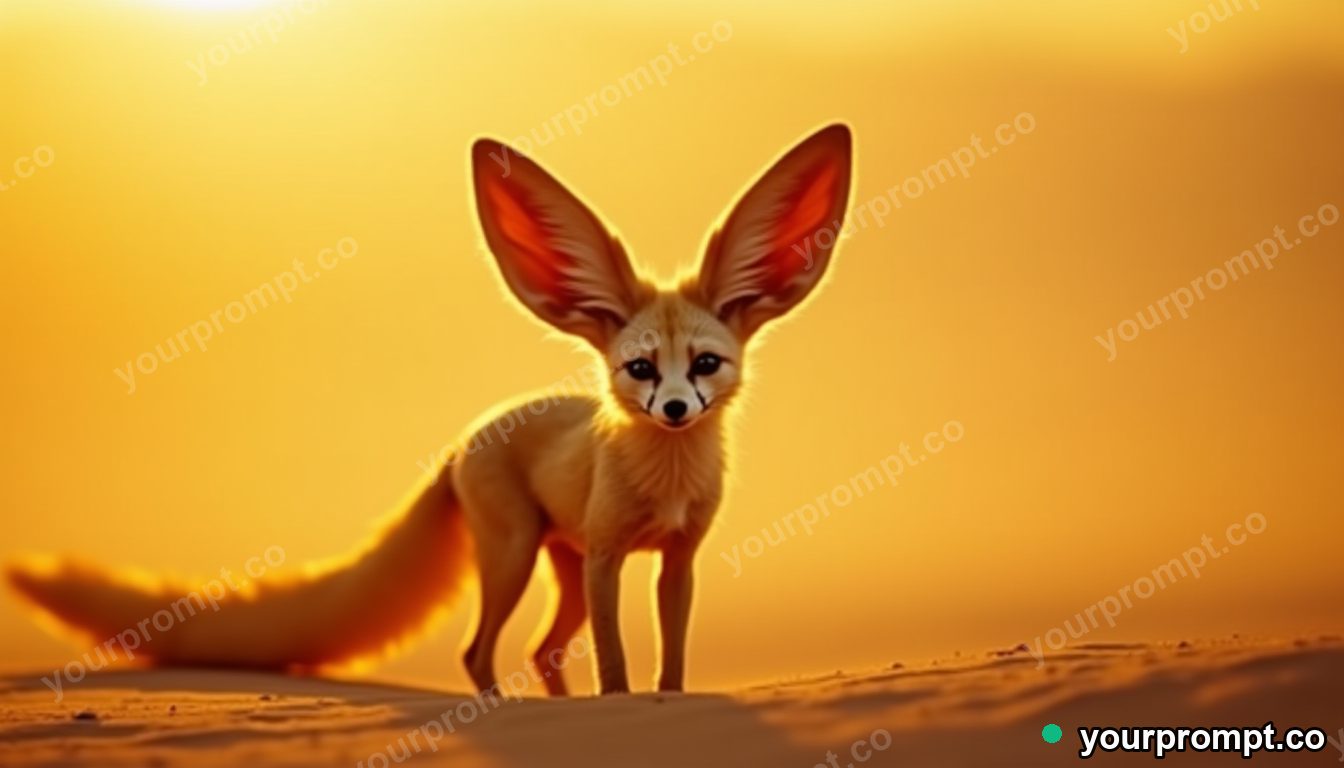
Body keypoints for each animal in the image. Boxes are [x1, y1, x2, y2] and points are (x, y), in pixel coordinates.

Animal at [6, 123, 853, 695]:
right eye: (639, 369)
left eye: (706, 365)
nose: (675, 407)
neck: (665, 477)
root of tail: (460, 442)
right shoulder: (611, 554)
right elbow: (616, 663)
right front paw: (620, 707)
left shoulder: (677, 557)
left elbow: (672, 659)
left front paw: (664, 706)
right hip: (518, 556)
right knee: (478, 652)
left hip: (559, 563)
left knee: (542, 650)